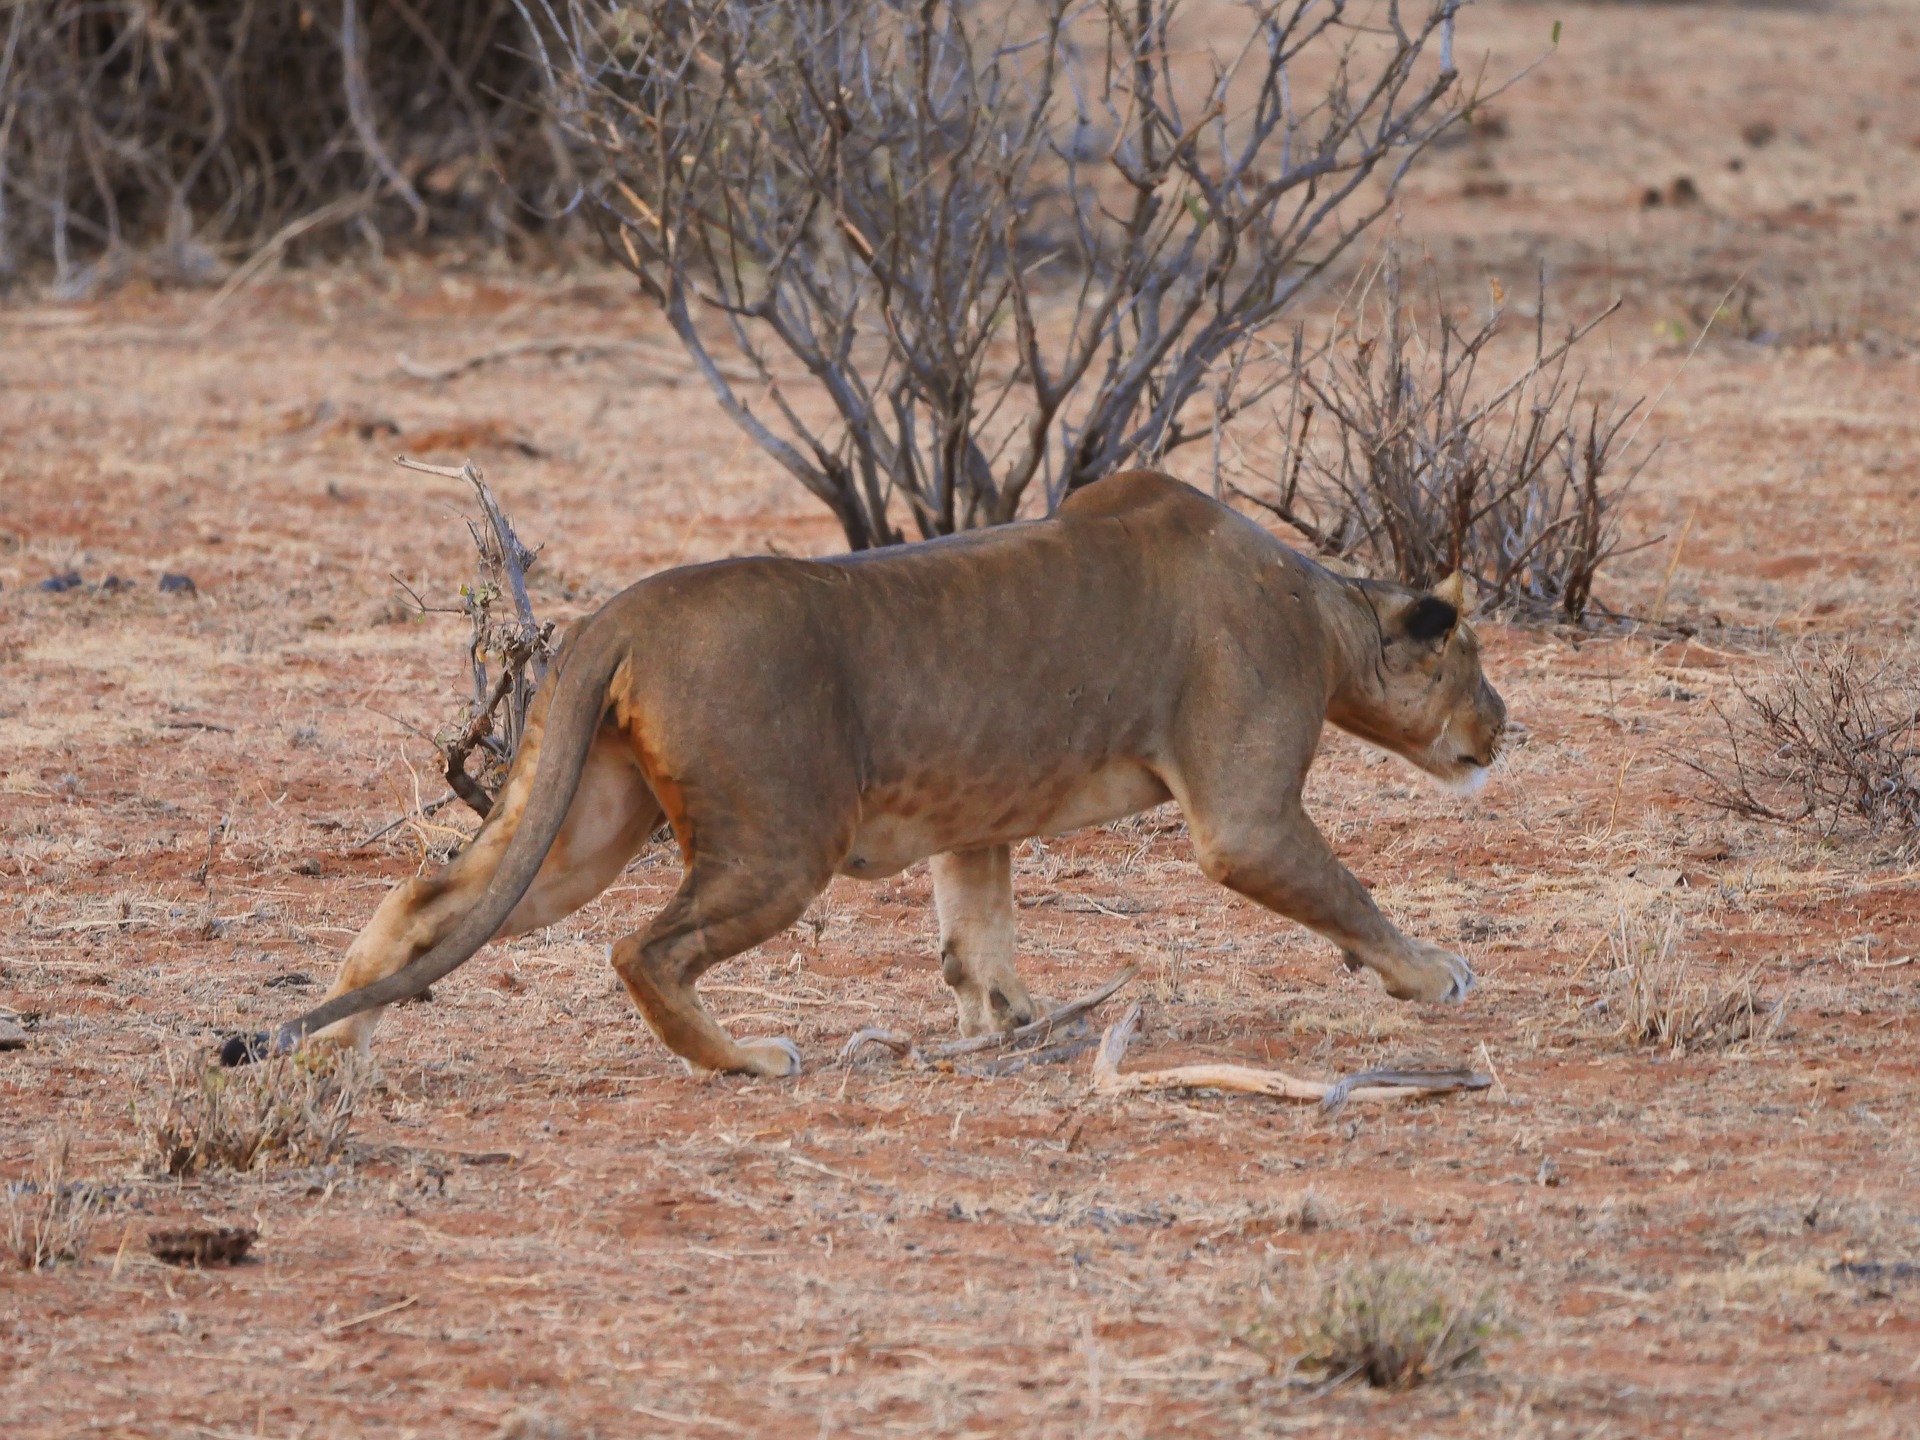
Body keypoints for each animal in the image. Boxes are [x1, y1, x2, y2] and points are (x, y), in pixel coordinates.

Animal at [224, 470, 1508, 1077]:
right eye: (1477, 660)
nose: (1507, 727)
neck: (1323, 612)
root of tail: (618, 614)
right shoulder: (1245, 815)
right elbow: (1343, 890)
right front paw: (1434, 975)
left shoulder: (977, 815)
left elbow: (973, 935)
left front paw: (1010, 1025)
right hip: (780, 844)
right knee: (645, 949)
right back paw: (746, 1060)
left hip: (583, 821)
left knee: (428, 899)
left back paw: (332, 1047)